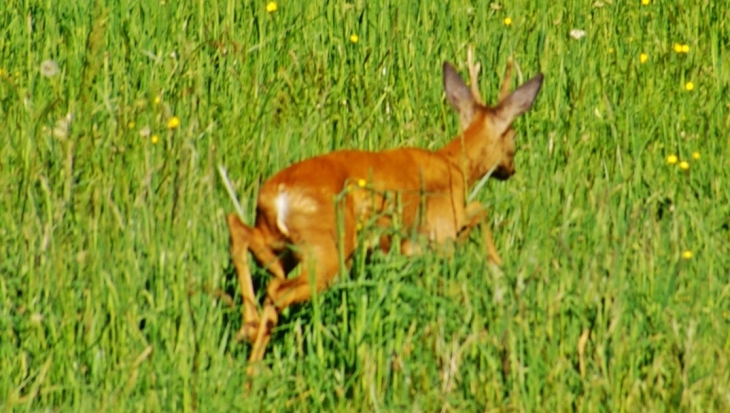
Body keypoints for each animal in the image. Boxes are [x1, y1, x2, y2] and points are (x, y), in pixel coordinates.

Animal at [225, 46, 544, 366]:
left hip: (279, 239)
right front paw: (498, 272)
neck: (455, 165)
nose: (511, 169)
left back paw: (248, 333)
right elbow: (479, 210)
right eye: (513, 136)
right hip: (328, 249)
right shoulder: (440, 232)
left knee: (238, 229)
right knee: (277, 288)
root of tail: (279, 196)